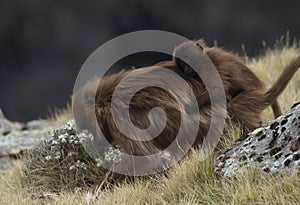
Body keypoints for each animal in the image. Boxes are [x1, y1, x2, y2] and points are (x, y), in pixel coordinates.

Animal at [171, 39, 300, 131]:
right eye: (182, 64)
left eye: (187, 61)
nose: (186, 69)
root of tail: (263, 92)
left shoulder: (207, 65)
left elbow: (218, 90)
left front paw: (188, 107)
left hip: (252, 96)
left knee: (234, 106)